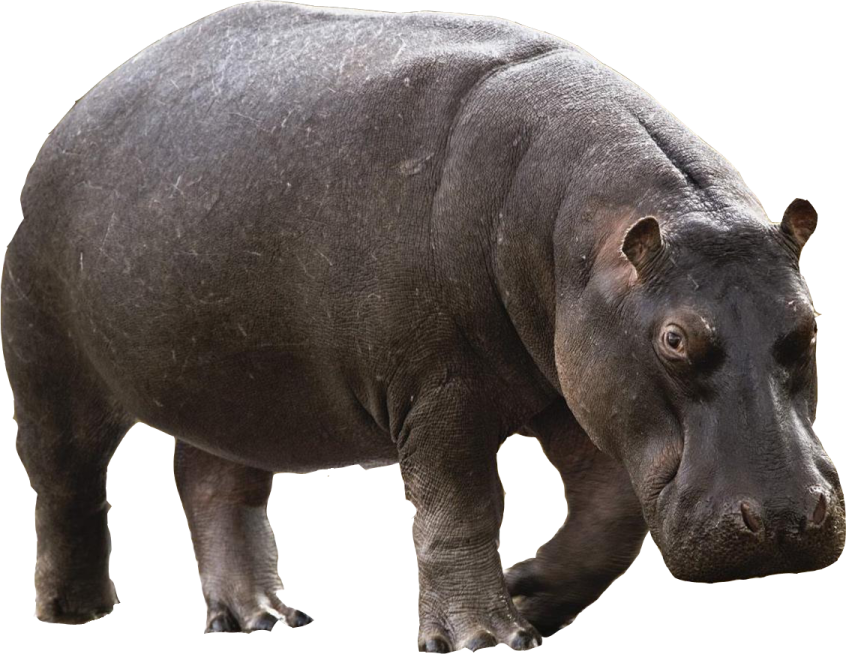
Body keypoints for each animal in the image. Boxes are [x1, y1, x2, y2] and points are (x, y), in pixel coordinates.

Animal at [5, 2, 842, 651]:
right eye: (674, 339)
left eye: (808, 323)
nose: (786, 519)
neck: (585, 235)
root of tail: (76, 114)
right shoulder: (439, 391)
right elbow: (463, 507)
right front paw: (484, 636)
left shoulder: (574, 387)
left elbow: (610, 515)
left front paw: (529, 594)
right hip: (51, 365)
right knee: (67, 483)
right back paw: (75, 611)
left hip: (236, 386)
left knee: (214, 484)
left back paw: (260, 617)